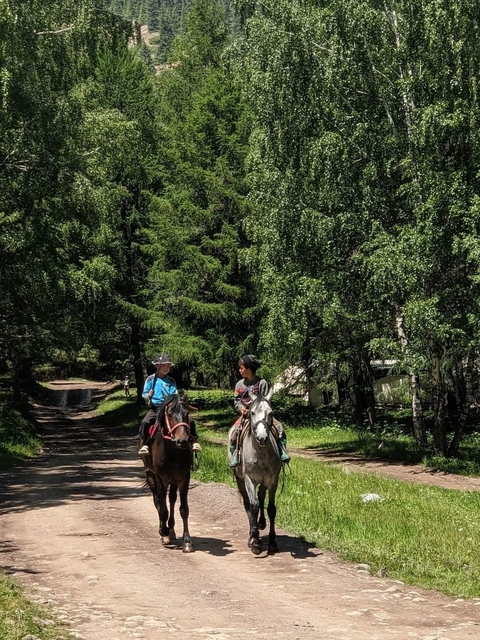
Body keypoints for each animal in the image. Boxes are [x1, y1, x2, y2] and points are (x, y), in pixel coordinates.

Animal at [141, 394, 194, 553]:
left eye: (186, 413)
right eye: (170, 414)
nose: (182, 441)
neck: (173, 453)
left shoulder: (184, 478)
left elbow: (184, 509)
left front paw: (187, 541)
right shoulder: (160, 479)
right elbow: (162, 507)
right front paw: (163, 532)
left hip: (173, 481)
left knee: (171, 500)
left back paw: (171, 530)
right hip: (151, 476)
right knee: (157, 500)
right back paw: (164, 531)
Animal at [228, 386, 282, 555]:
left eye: (270, 413)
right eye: (252, 412)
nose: (262, 437)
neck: (260, 452)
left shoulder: (273, 480)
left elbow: (271, 508)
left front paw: (272, 542)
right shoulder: (249, 480)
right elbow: (253, 506)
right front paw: (255, 542)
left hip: (263, 482)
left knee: (261, 497)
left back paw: (261, 523)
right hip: (240, 480)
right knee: (248, 504)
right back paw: (251, 534)